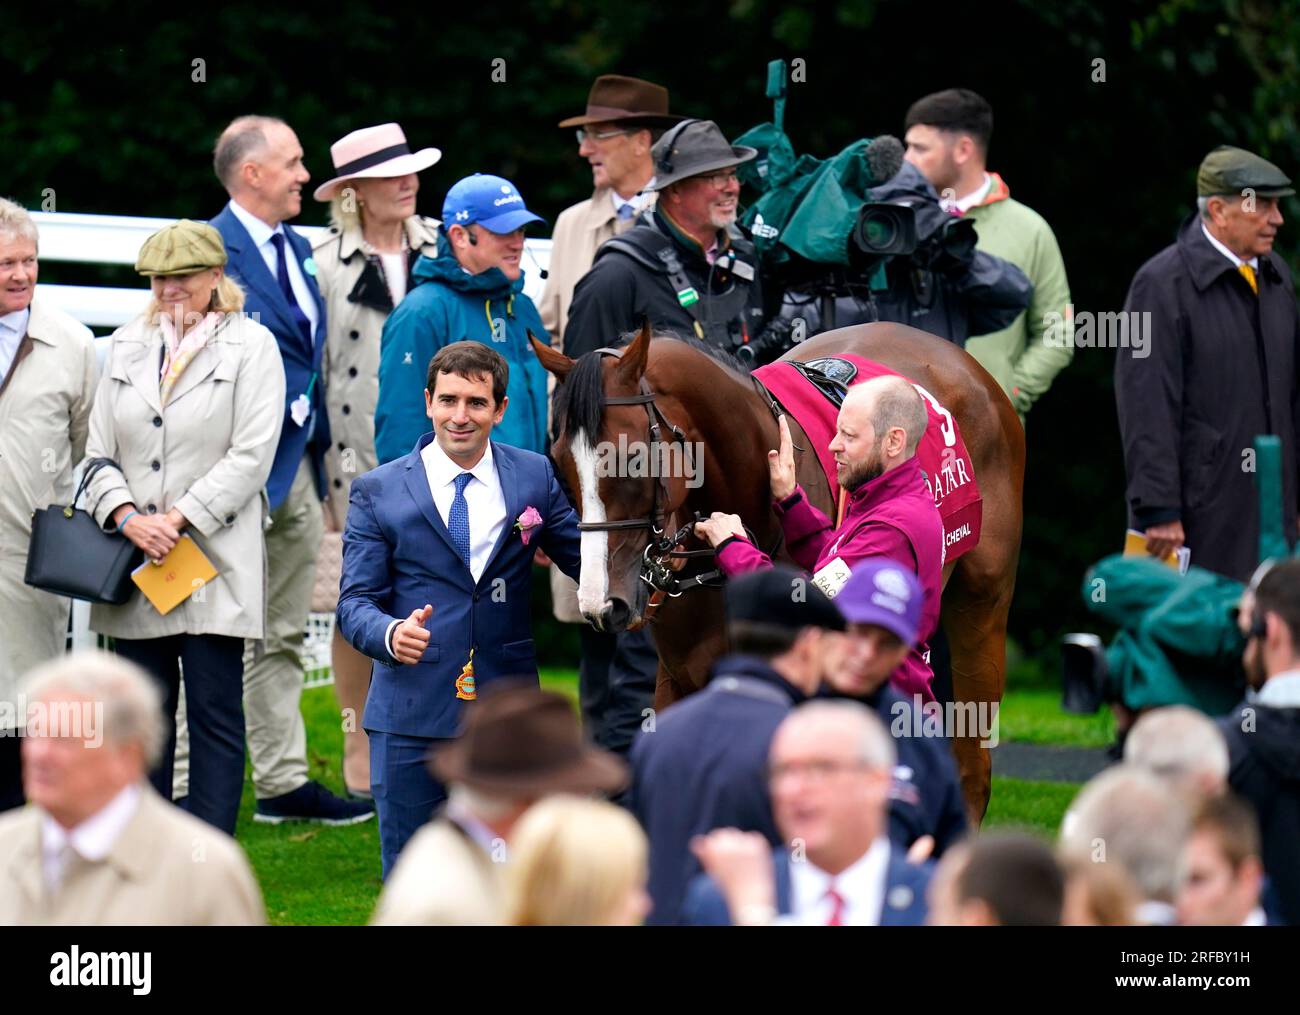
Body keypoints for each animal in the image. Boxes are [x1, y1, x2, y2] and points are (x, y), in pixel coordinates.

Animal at [530, 321, 1024, 821]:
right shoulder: (678, 677)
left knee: (972, 765)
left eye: (632, 458)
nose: (601, 604)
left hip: (982, 606)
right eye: (561, 460)